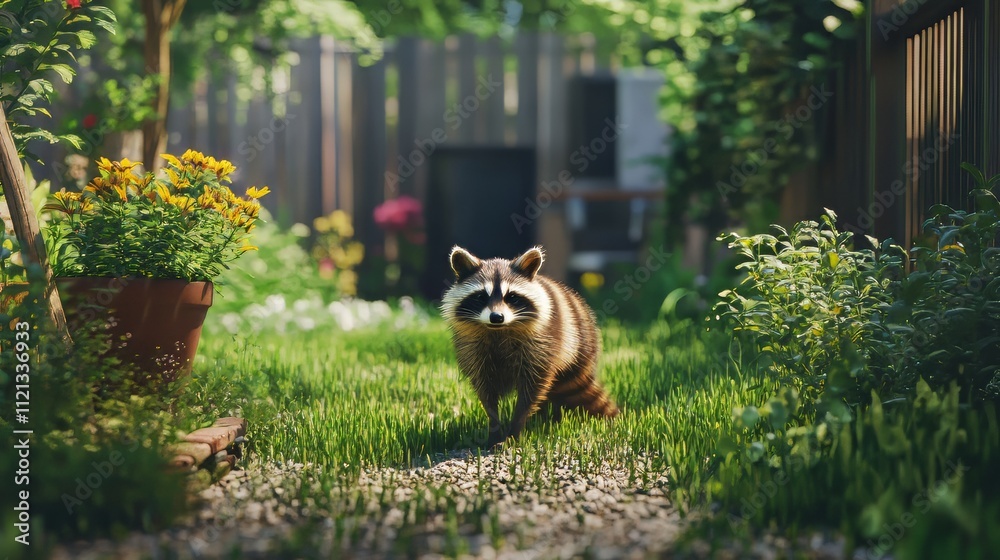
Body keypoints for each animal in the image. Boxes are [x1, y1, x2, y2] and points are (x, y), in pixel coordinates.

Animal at [440, 245, 618, 448]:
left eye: (511, 297)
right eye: (480, 297)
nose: (496, 317)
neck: (499, 330)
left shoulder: (542, 345)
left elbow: (531, 389)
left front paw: (514, 430)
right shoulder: (474, 351)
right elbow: (486, 391)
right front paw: (494, 428)